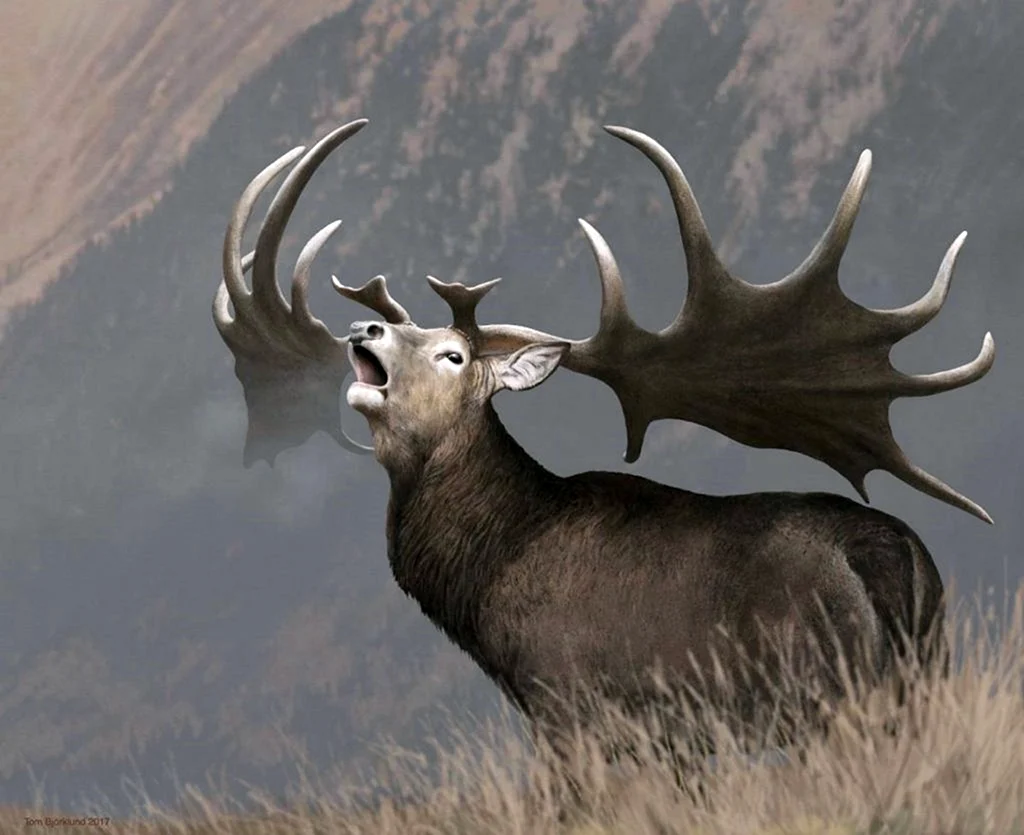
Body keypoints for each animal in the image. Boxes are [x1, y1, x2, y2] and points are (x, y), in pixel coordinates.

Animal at [213, 119, 993, 779]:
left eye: (454, 355)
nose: (363, 332)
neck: (491, 567)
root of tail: (896, 564)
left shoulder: (566, 702)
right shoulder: (674, 738)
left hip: (825, 694)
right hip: (925, 675)